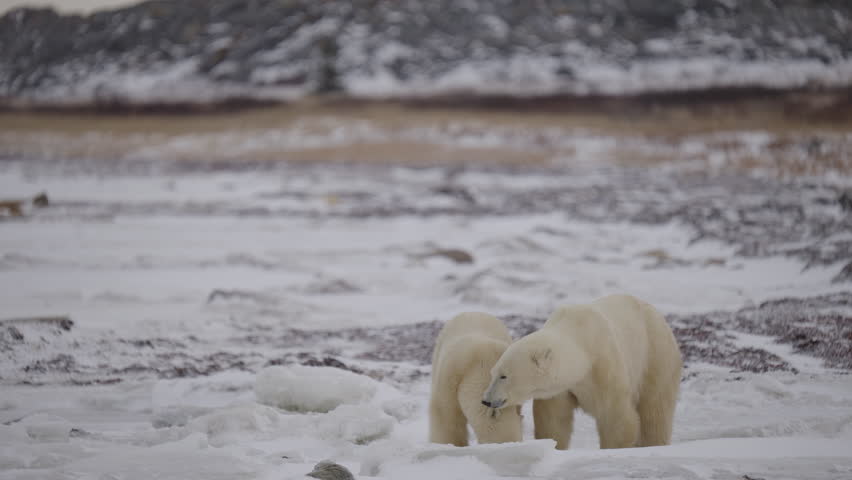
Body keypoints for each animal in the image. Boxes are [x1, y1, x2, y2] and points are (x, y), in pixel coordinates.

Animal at [481, 294, 682, 450]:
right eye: (492, 373)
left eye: (504, 375)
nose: (486, 400)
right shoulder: (561, 387)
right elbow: (553, 420)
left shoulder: (604, 363)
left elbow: (615, 417)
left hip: (654, 355)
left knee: (655, 410)